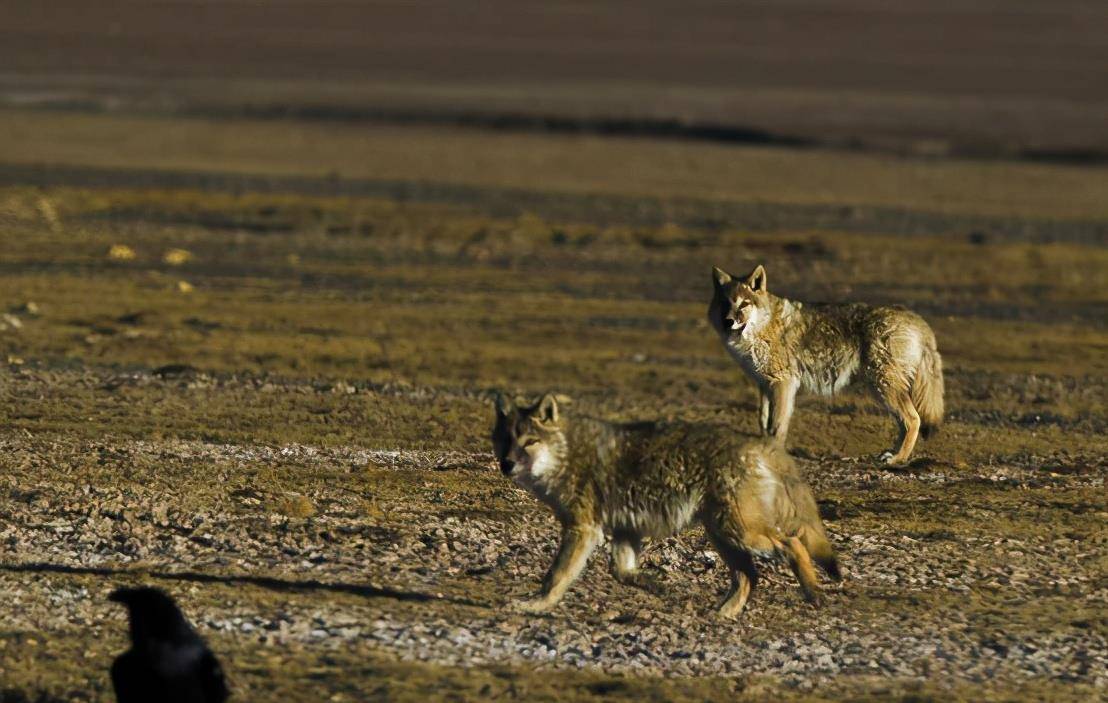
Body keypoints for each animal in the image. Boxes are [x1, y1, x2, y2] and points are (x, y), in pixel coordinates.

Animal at [489, 392, 833, 616]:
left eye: (529, 442)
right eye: (505, 440)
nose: (507, 464)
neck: (567, 454)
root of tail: (762, 443)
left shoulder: (583, 529)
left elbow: (556, 576)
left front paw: (535, 605)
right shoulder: (625, 529)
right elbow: (621, 572)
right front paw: (657, 585)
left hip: (738, 533)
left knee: (792, 544)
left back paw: (813, 594)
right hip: (724, 537)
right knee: (749, 576)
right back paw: (722, 614)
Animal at [709, 262, 944, 465]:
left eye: (744, 304)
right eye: (725, 303)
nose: (728, 321)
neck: (764, 328)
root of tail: (917, 319)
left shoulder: (783, 384)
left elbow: (777, 426)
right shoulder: (764, 384)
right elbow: (763, 421)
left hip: (883, 387)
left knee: (914, 420)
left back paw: (898, 459)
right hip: (883, 390)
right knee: (905, 423)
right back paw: (892, 453)